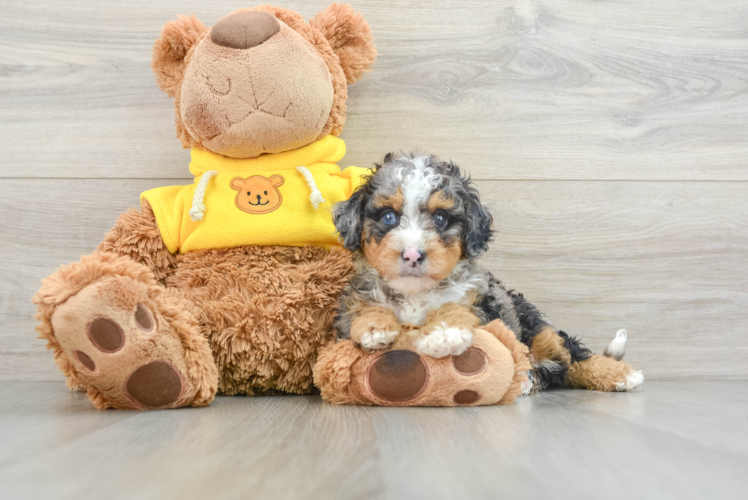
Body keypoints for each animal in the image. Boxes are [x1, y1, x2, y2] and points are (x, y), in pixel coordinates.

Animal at [334, 153, 644, 394]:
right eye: (388, 217)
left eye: (441, 218)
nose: (412, 255)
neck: (416, 294)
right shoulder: (351, 307)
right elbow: (365, 308)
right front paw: (374, 326)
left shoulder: (484, 303)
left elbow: (457, 308)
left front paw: (445, 332)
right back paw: (527, 381)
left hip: (536, 327)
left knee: (572, 358)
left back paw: (621, 374)